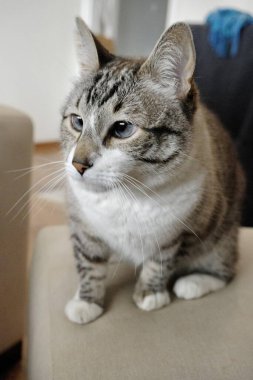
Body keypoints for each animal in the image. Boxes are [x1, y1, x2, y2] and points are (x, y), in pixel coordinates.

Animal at [60, 18, 245, 324]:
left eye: (122, 128)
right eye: (77, 122)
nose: (78, 164)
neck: (127, 195)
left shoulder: (177, 233)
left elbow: (160, 262)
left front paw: (149, 294)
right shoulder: (83, 226)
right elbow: (89, 262)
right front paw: (87, 301)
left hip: (222, 233)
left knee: (226, 270)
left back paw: (193, 283)